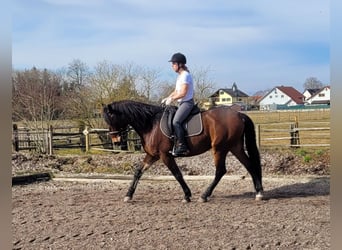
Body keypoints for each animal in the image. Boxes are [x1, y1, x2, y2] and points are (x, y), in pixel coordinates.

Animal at [103, 98, 264, 202]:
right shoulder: (152, 155)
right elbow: (138, 172)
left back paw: (204, 195)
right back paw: (259, 192)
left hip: (220, 148)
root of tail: (239, 114)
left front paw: (187, 195)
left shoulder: (165, 155)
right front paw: (128, 195)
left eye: (111, 118)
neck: (150, 124)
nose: (116, 141)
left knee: (220, 171)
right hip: (234, 146)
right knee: (249, 165)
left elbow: (177, 174)